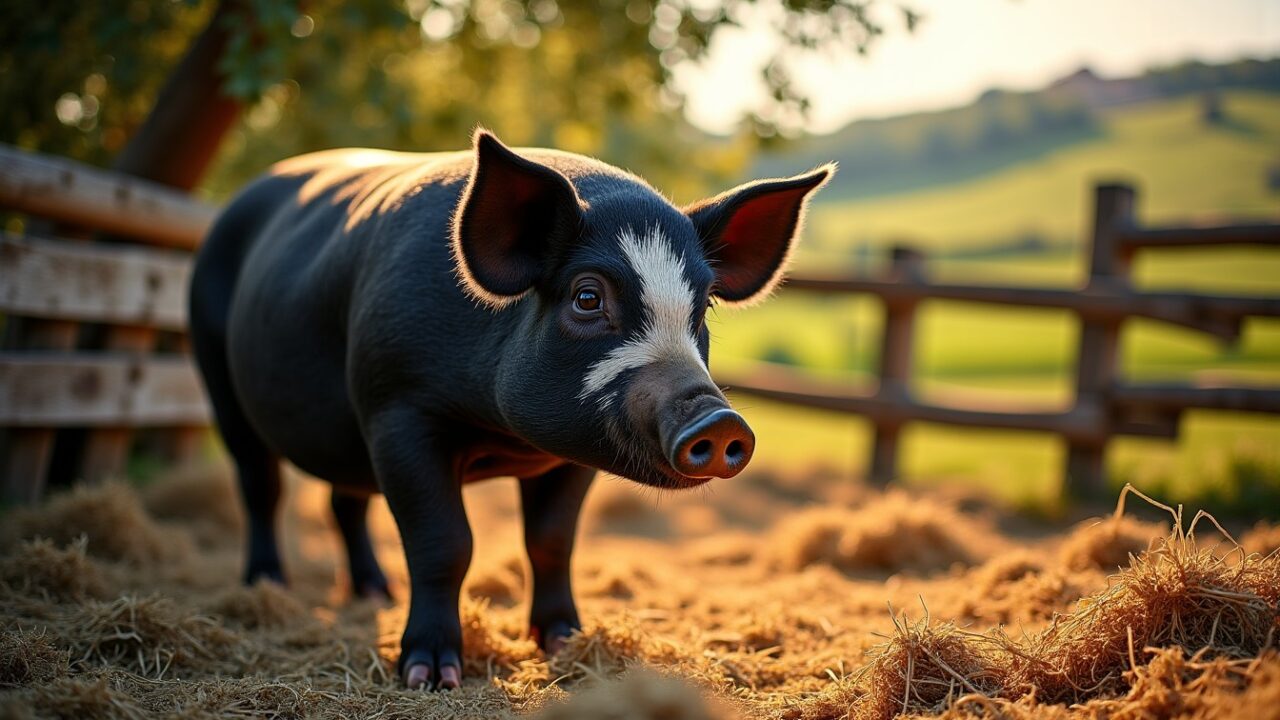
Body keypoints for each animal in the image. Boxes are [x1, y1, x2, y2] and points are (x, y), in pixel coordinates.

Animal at [188, 129, 833, 689]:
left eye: (702, 310)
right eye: (587, 297)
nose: (719, 422)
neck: (502, 437)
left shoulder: (573, 453)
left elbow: (552, 541)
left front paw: (566, 641)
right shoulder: (397, 410)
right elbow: (445, 542)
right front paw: (430, 676)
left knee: (344, 501)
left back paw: (375, 594)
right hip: (218, 376)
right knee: (261, 487)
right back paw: (266, 586)